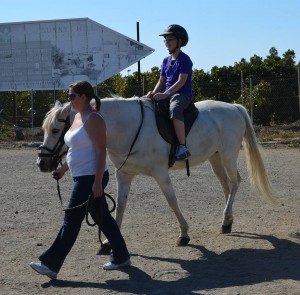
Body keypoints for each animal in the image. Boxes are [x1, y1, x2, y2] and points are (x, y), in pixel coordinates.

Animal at [37, 97, 278, 247]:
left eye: (57, 130)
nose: (42, 163)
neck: (128, 127)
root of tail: (233, 107)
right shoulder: (123, 175)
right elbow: (121, 206)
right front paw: (108, 242)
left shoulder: (160, 173)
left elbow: (172, 201)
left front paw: (184, 234)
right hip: (215, 157)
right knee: (226, 186)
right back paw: (227, 221)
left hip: (228, 155)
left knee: (235, 182)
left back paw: (226, 220)